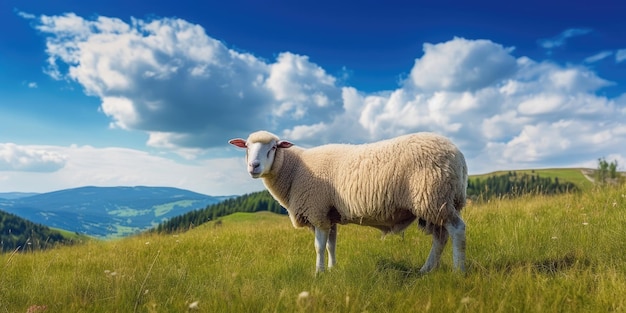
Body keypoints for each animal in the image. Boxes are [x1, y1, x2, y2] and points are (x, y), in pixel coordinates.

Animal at [227, 130, 466, 272]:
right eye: (246, 147)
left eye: (274, 147)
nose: (254, 166)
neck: (295, 170)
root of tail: (458, 155)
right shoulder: (329, 214)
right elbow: (331, 245)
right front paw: (332, 270)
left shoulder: (317, 212)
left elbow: (319, 247)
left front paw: (318, 273)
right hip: (437, 202)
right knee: (440, 237)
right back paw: (427, 270)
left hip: (434, 197)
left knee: (457, 230)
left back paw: (458, 270)